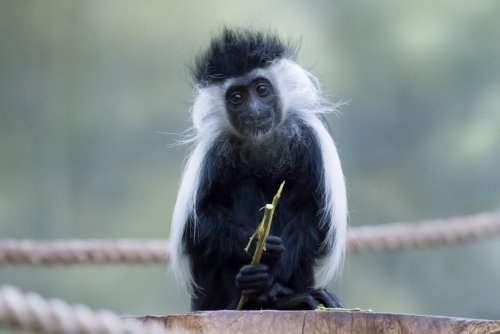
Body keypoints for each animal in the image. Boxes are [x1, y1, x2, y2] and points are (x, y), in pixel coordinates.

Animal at [170, 28, 346, 310]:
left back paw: (285, 295)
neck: (261, 141)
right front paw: (257, 248)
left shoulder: (310, 141)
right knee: (243, 185)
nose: (253, 111)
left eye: (262, 89)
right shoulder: (214, 153)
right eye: (237, 98)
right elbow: (197, 227)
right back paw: (254, 292)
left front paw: (272, 275)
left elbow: (318, 220)